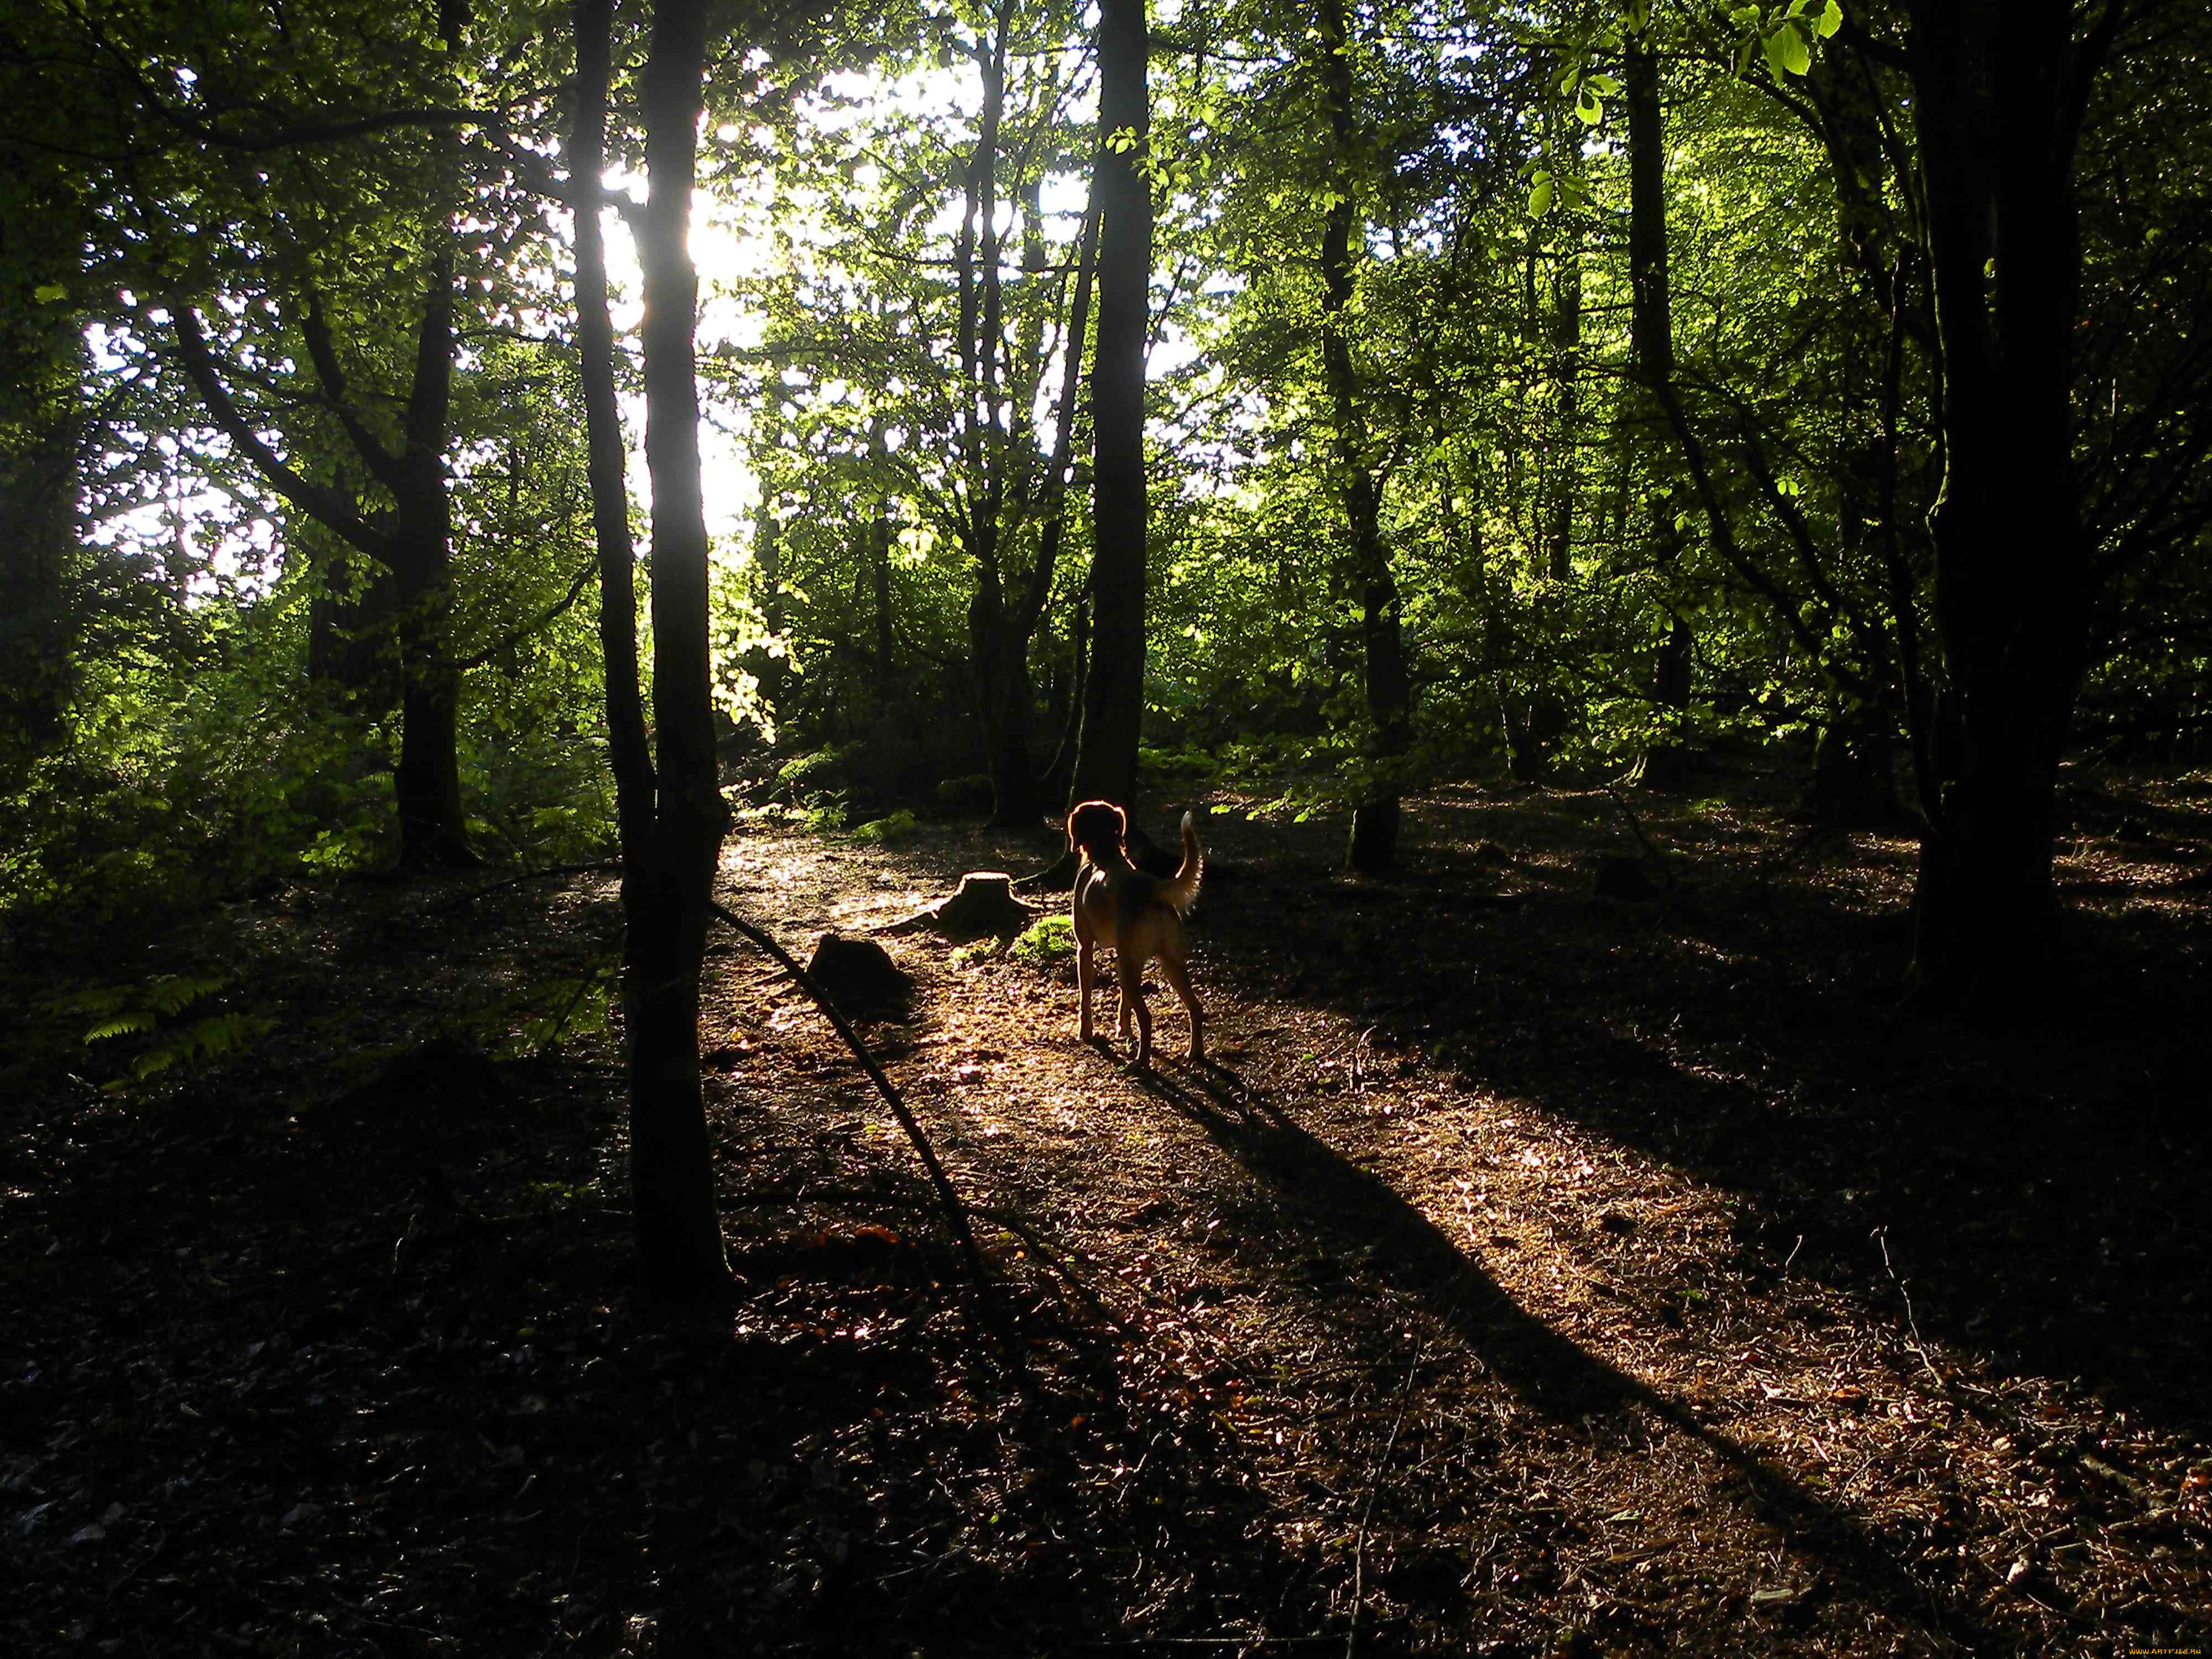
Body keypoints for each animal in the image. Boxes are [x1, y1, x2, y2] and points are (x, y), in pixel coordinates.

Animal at [1071, 801, 1212, 1071]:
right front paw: (1123, 1030)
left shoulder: (1085, 948)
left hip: (1133, 966)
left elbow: (1086, 997)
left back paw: (1141, 1062)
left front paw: (1087, 1032)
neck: (1105, 854)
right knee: (1196, 1008)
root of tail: (1153, 889)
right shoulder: (1126, 957)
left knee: (1147, 1018)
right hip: (1169, 964)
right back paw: (1195, 1053)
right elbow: (1125, 1003)